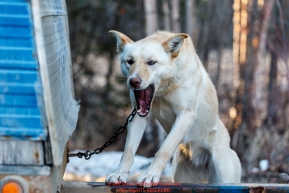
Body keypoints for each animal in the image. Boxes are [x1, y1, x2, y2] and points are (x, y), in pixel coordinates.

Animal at [106, 30, 241, 187]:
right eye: (130, 61)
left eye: (151, 62)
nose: (134, 81)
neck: (163, 91)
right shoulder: (138, 116)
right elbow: (128, 150)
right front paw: (119, 174)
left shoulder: (185, 115)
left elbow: (163, 150)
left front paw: (150, 176)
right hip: (182, 176)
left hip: (224, 176)